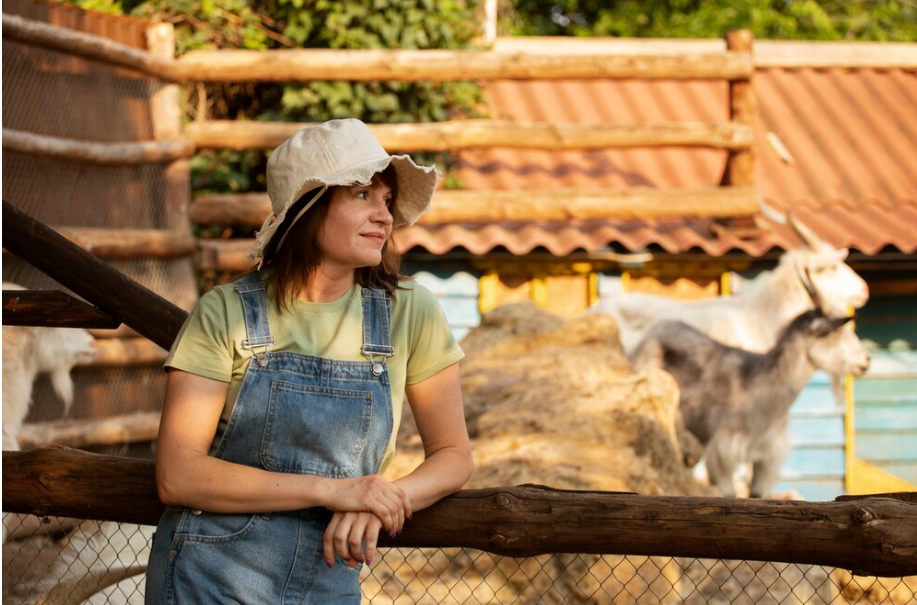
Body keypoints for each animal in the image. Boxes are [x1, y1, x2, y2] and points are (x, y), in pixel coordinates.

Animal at [632, 310, 868, 498]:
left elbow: (757, 495)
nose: (866, 361)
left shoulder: (767, 456)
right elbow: (728, 494)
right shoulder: (723, 451)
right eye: (833, 335)